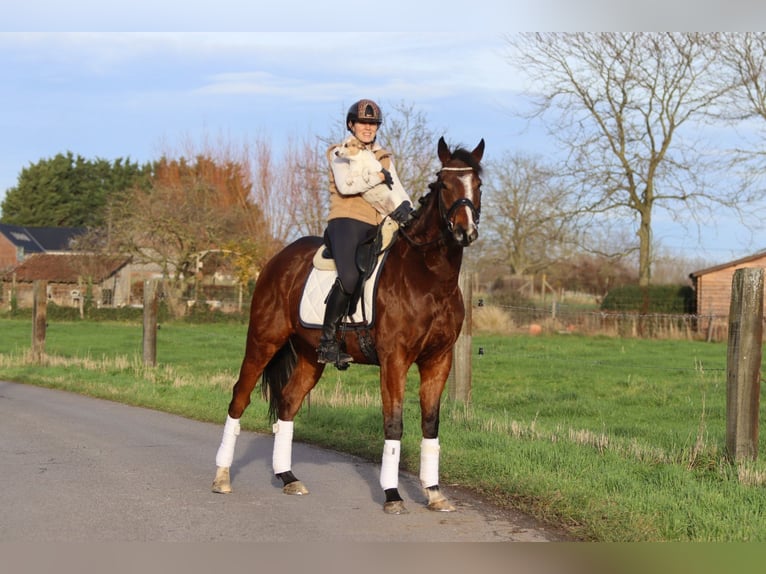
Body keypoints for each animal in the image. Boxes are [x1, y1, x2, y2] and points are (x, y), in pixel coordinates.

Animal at [212, 136, 485, 514]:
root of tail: (277, 261)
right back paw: (222, 476)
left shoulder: (438, 360)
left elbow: (430, 423)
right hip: (263, 341)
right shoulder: (394, 360)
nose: (465, 231)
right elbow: (393, 423)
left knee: (288, 403)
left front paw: (433, 492)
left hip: (310, 356)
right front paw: (392, 494)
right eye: (444, 184)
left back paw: (288, 477)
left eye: (478, 185)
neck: (428, 277)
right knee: (239, 397)